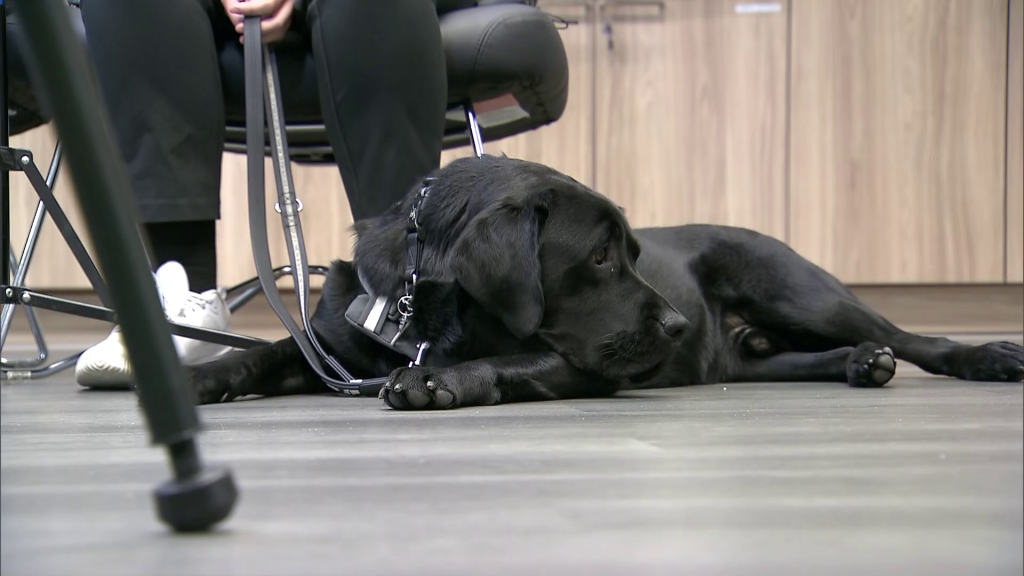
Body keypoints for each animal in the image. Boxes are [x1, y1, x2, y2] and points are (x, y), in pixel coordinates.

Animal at [186, 153, 1024, 407]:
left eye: (631, 251)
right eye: (597, 258)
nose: (677, 325)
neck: (426, 315)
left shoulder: (577, 363)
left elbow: (509, 359)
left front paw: (441, 380)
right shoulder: (334, 350)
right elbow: (270, 353)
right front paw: (206, 375)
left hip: (794, 287)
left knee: (906, 333)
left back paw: (984, 356)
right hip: (747, 351)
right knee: (795, 359)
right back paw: (856, 366)